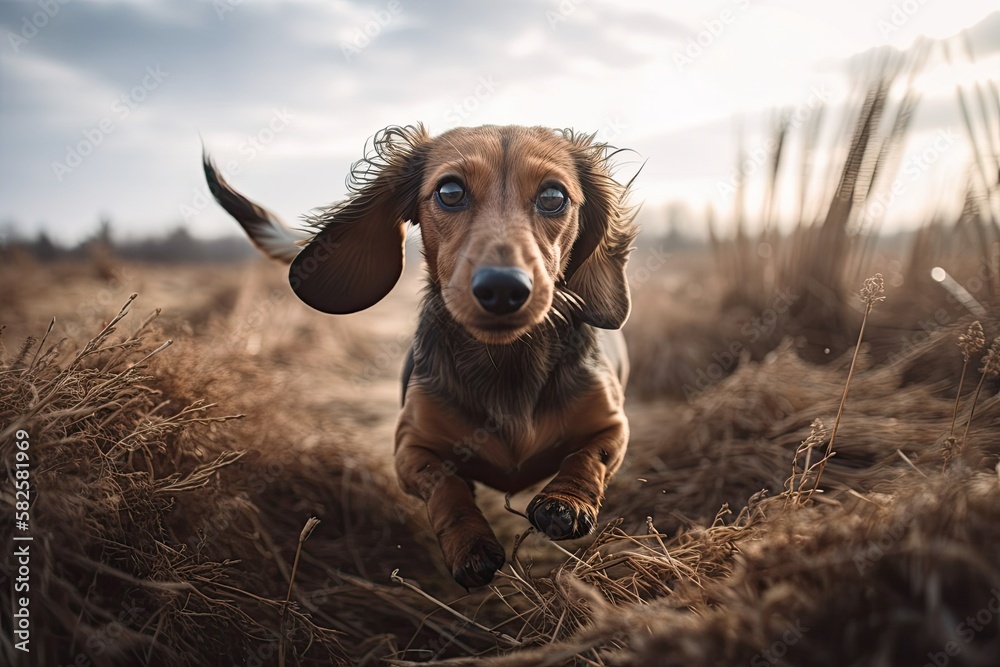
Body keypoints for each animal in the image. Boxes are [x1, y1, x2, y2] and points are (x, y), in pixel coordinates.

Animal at [206, 124, 636, 584]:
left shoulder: (613, 426)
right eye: (450, 191)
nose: (503, 288)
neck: (506, 364)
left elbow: (588, 456)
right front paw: (469, 545)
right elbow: (443, 484)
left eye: (553, 196)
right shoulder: (410, 448)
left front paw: (565, 502)